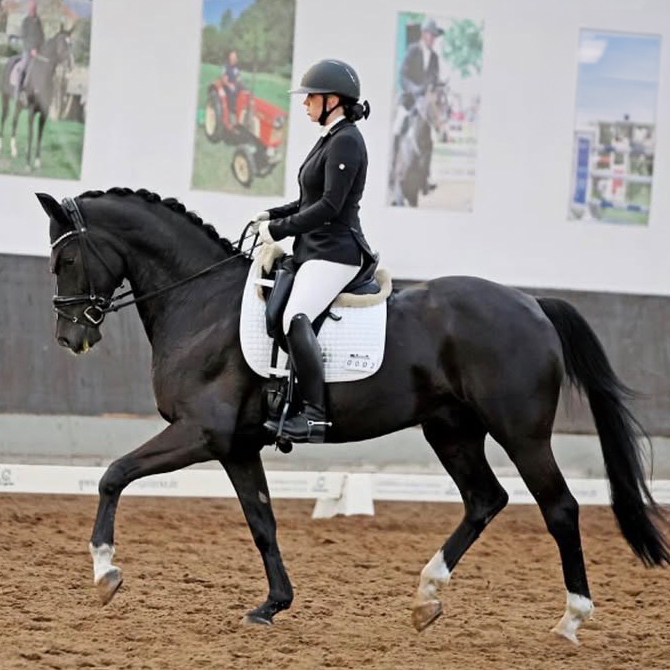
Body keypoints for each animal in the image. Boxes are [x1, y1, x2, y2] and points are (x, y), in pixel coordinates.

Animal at [1, 27, 74, 170]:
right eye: (63, 43)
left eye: (71, 44)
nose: (70, 65)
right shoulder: (31, 110)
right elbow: (31, 134)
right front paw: (28, 164)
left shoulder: (44, 112)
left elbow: (40, 134)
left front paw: (37, 162)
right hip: (5, 98)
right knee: (4, 118)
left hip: (19, 105)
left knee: (14, 121)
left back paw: (14, 150)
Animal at [36, 187, 669, 643]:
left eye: (65, 258)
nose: (70, 338)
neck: (202, 304)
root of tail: (532, 303)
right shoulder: (236, 446)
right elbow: (262, 523)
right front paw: (272, 606)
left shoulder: (199, 433)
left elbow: (113, 474)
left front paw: (104, 574)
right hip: (451, 429)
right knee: (485, 499)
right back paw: (426, 598)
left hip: (522, 432)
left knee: (559, 508)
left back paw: (571, 619)